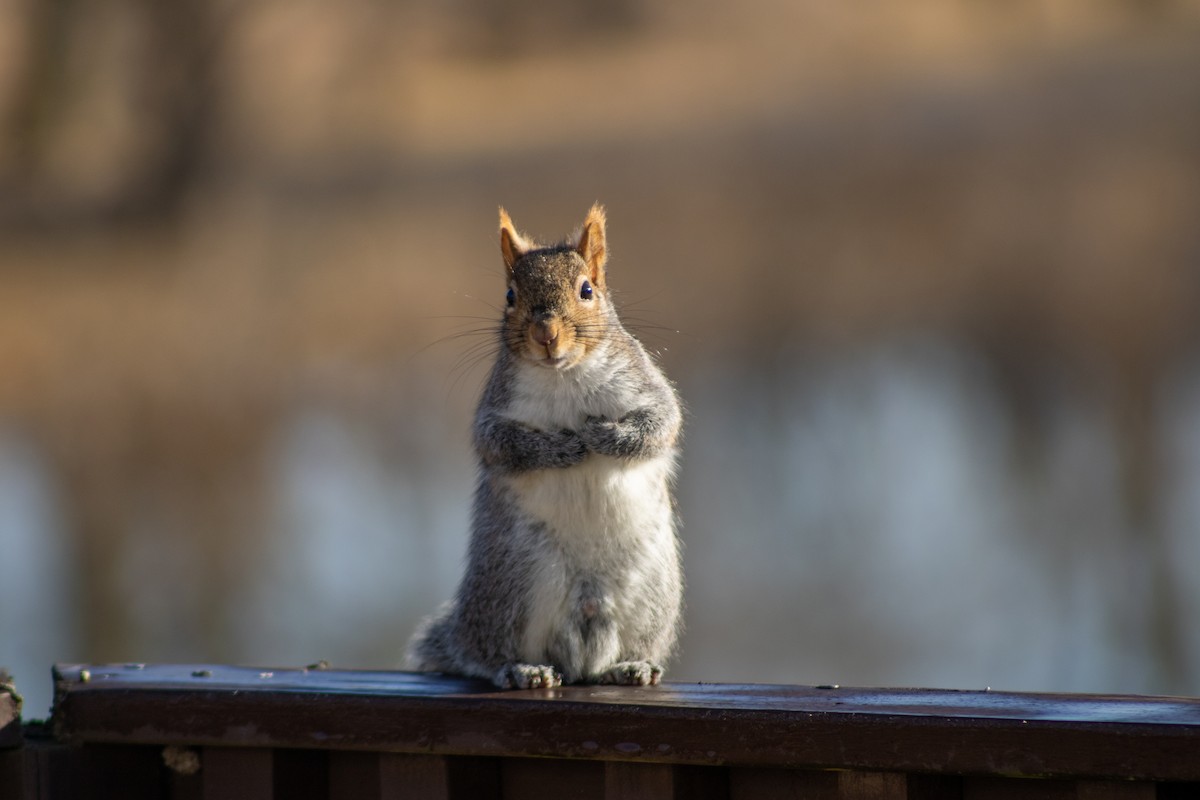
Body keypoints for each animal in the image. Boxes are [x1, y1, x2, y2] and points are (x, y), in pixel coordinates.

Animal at [405, 204, 684, 689]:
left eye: (587, 290)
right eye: (510, 295)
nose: (546, 333)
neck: (563, 374)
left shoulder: (646, 388)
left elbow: (660, 425)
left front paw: (602, 436)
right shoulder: (496, 411)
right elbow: (502, 444)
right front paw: (561, 448)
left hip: (651, 596)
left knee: (613, 657)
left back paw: (631, 666)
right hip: (515, 589)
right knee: (489, 655)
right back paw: (521, 668)